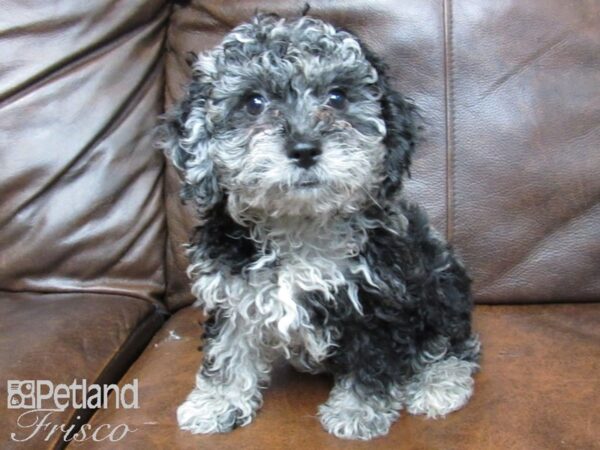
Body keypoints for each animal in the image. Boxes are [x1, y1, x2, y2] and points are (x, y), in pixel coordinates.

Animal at [162, 13, 480, 440]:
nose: (304, 149)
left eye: (337, 97)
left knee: (450, 343)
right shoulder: (232, 295)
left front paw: (357, 412)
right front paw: (217, 402)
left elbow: (371, 362)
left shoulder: (378, 299)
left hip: (440, 282)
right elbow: (228, 351)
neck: (299, 225)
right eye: (253, 102)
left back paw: (440, 384)